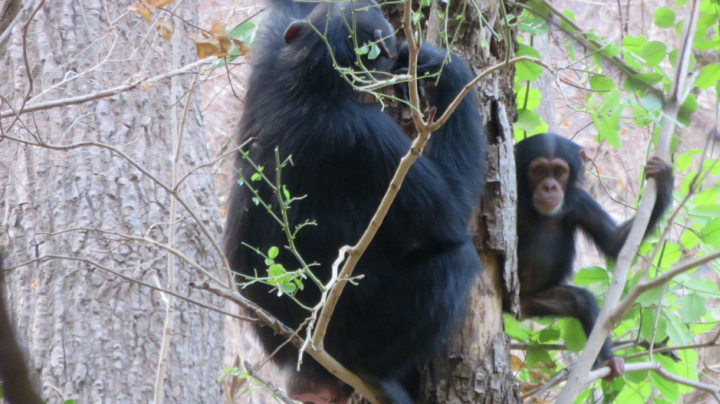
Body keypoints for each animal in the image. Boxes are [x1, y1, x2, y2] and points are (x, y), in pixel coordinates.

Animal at [222, 0, 486, 404]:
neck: (312, 80)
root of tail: (302, 374)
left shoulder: (272, 55)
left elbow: (287, 10)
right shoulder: (370, 139)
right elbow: (452, 213)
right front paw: (447, 72)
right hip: (344, 343)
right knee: (453, 262)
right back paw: (380, 378)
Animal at [512, 133, 676, 378]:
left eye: (559, 172)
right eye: (538, 170)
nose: (549, 186)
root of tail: (520, 310)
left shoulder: (580, 202)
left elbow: (615, 241)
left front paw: (664, 179)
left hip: (537, 300)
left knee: (582, 301)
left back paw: (607, 361)